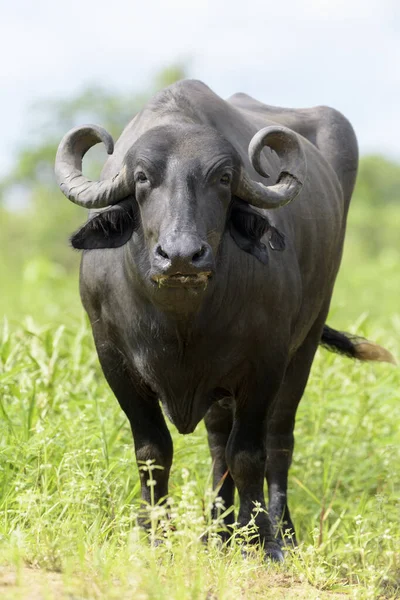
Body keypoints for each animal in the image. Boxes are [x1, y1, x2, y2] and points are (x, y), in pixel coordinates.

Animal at [54, 77, 394, 560]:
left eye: (223, 178)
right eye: (142, 178)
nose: (182, 256)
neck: (181, 321)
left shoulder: (265, 362)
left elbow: (249, 453)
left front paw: (261, 542)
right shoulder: (113, 360)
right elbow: (153, 450)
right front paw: (154, 535)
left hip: (306, 340)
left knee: (278, 440)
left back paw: (279, 532)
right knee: (217, 442)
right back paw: (217, 532)